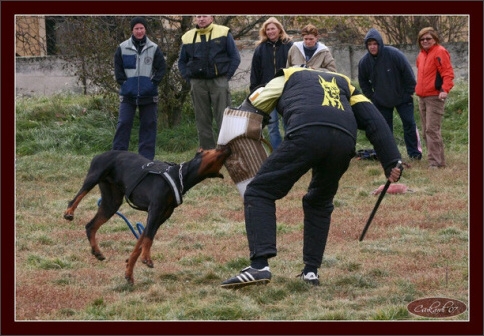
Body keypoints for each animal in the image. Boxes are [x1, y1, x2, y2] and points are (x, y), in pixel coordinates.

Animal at [63, 146, 231, 284]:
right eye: (216, 149)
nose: (228, 148)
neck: (180, 176)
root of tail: (100, 154)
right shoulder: (154, 210)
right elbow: (148, 238)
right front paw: (147, 258)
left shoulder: (161, 217)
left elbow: (140, 243)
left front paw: (129, 272)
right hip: (95, 175)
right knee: (76, 197)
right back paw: (69, 212)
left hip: (111, 203)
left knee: (90, 225)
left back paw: (97, 251)